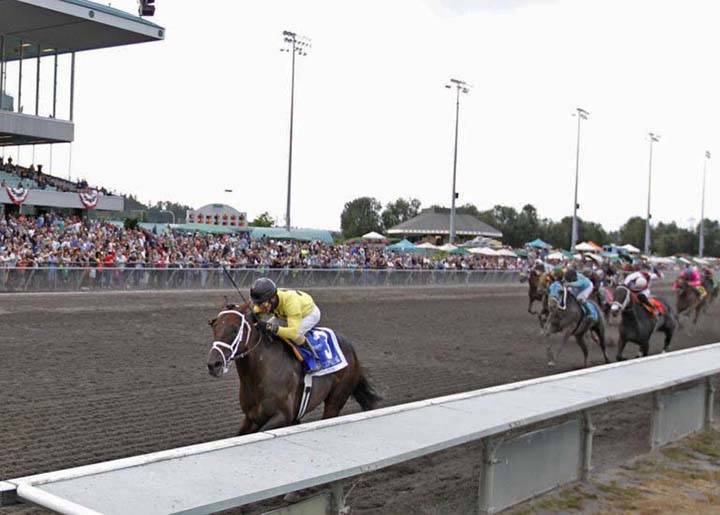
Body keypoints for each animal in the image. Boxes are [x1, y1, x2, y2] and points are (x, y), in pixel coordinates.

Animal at [207, 302, 382, 436]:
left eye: (235, 329)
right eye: (214, 327)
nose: (213, 365)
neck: (259, 375)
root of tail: (351, 348)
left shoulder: (282, 416)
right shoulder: (251, 418)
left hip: (336, 400)